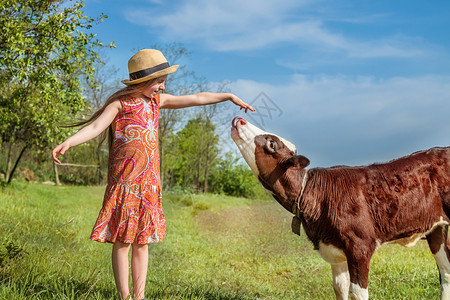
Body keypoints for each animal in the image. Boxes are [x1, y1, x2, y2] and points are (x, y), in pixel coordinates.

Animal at [232, 116, 450, 298]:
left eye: (271, 143)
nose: (239, 118)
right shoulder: (335, 251)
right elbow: (339, 287)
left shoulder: (360, 245)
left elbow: (357, 292)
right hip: (436, 229)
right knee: (446, 272)